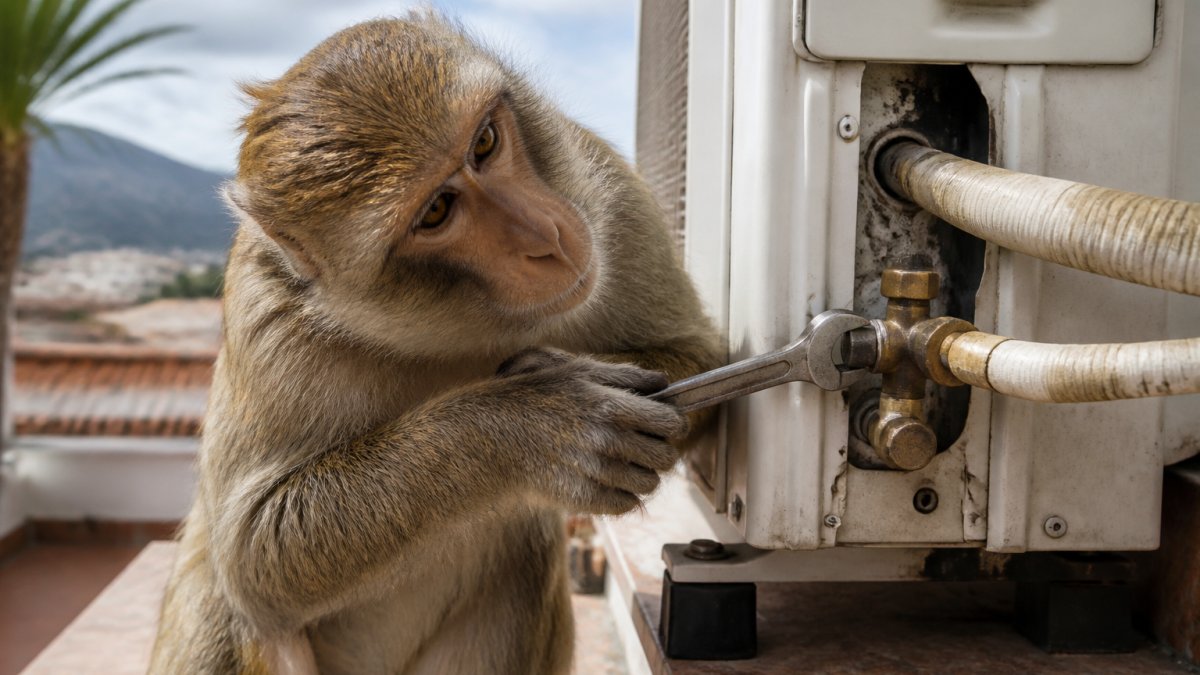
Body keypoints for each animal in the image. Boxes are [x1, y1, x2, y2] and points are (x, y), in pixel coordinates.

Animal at [149, 12, 720, 675]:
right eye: (437, 210)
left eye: (485, 143)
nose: (547, 238)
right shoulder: (265, 316)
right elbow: (254, 559)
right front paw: (536, 425)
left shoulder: (608, 192)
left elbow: (700, 353)